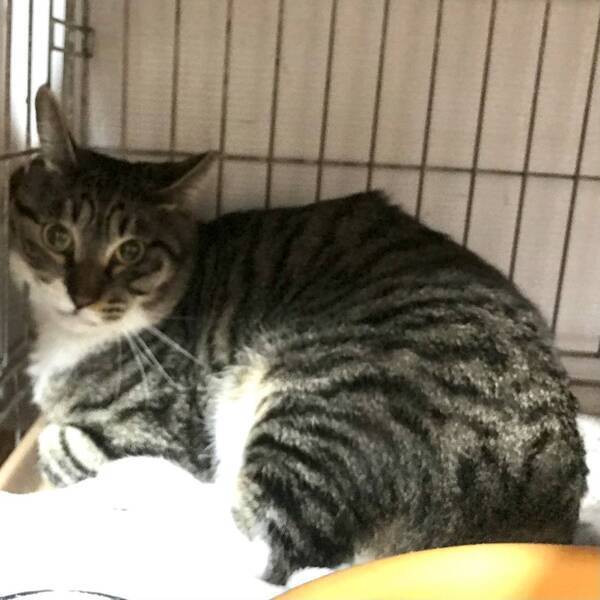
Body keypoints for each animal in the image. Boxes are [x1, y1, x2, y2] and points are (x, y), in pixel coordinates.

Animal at [8, 84, 587, 585]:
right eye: (58, 236)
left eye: (129, 251)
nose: (80, 295)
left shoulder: (162, 425)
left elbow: (59, 444)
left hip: (323, 394)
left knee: (268, 553)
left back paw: (132, 486)